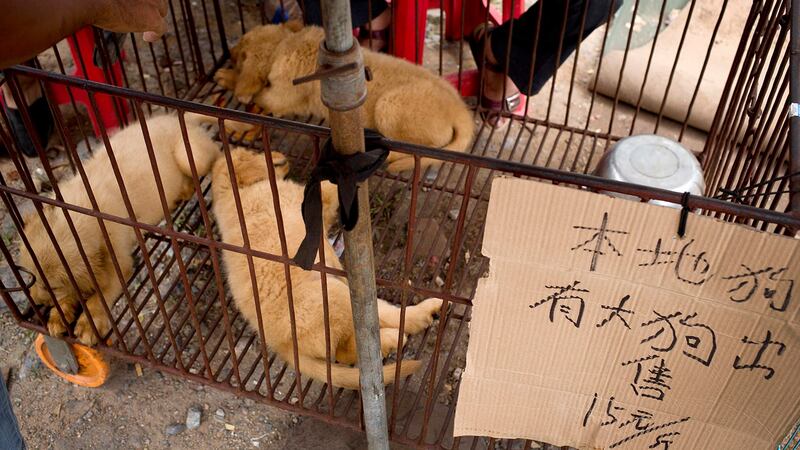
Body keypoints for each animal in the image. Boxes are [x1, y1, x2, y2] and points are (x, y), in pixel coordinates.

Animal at [17, 112, 222, 344]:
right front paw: (58, 317)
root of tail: (180, 119)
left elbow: (100, 295)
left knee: (215, 156)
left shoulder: (119, 263)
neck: (82, 209)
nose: (36, 302)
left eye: (52, 286)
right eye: (31, 276)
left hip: (192, 157)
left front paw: (88, 324)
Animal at [209, 149, 444, 390]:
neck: (235, 194)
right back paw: (414, 320)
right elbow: (332, 185)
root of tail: (284, 346)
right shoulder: (315, 201)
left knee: (344, 351)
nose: (281, 155)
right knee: (377, 323)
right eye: (255, 153)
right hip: (336, 294)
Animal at [214, 22, 476, 175]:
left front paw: (227, 77)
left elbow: (257, 93)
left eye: (241, 50)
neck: (285, 44)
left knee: (422, 150)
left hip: (388, 107)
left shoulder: (280, 98)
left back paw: (392, 158)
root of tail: (460, 111)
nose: (229, 53)